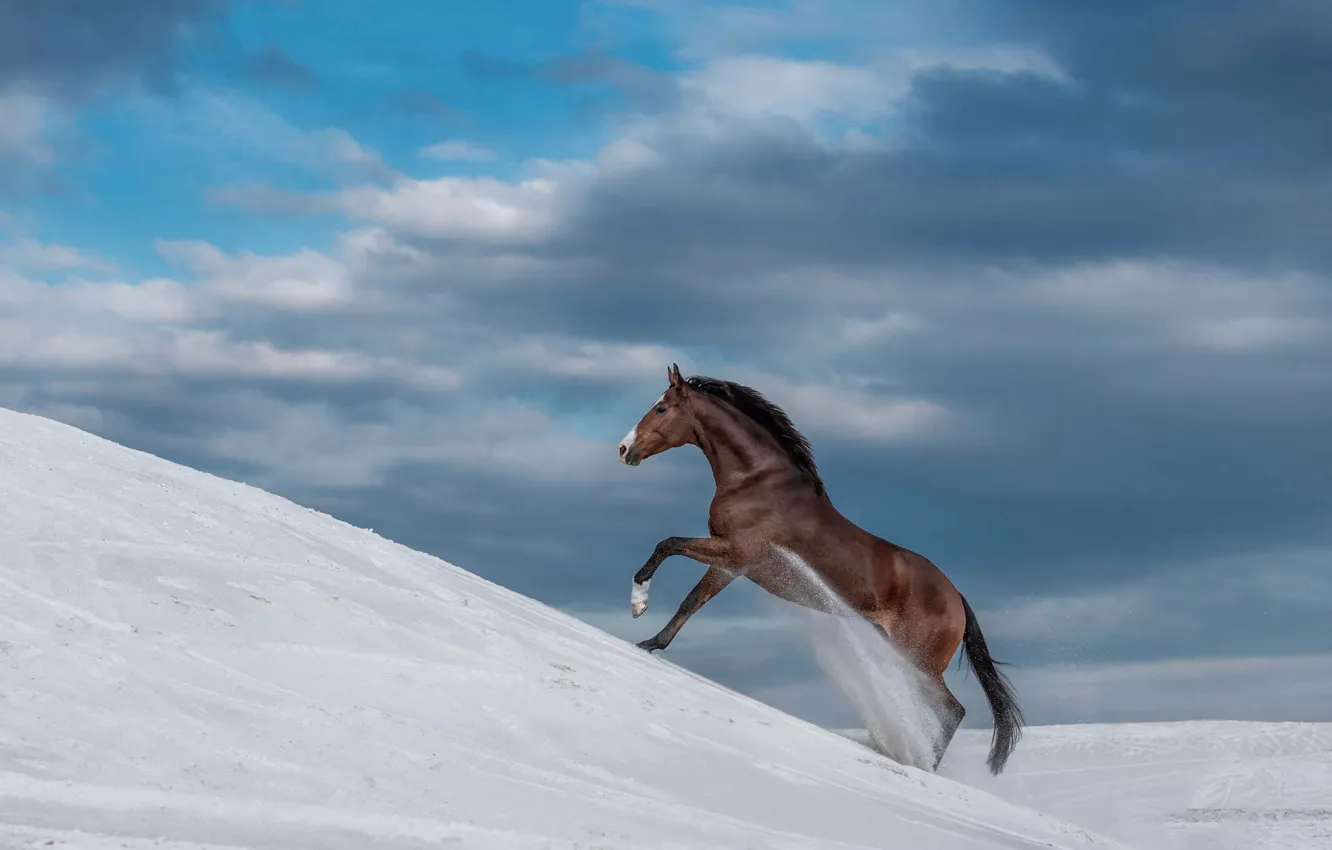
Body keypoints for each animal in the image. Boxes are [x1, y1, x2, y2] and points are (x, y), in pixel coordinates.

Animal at [616, 364, 1024, 775]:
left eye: (662, 408)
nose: (623, 450)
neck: (757, 481)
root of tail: (957, 598)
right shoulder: (730, 565)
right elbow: (691, 601)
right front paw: (650, 642)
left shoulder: (734, 553)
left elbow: (667, 545)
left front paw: (638, 605)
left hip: (918, 660)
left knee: (952, 710)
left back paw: (921, 764)